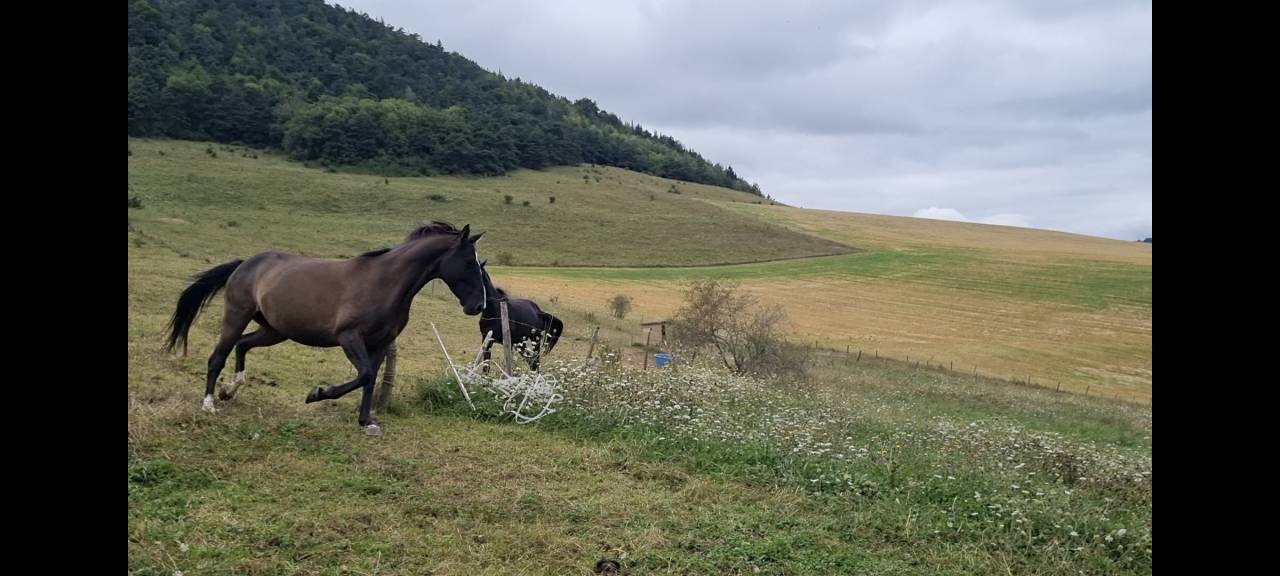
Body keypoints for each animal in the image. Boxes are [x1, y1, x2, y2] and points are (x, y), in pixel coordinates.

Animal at [165, 222, 488, 435]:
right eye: (469, 263)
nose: (479, 306)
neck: (385, 283)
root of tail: (245, 264)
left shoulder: (380, 343)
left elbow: (369, 379)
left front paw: (366, 422)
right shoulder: (349, 337)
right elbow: (364, 375)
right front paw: (317, 394)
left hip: (274, 331)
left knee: (243, 345)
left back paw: (229, 391)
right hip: (236, 317)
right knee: (217, 356)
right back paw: (209, 403)